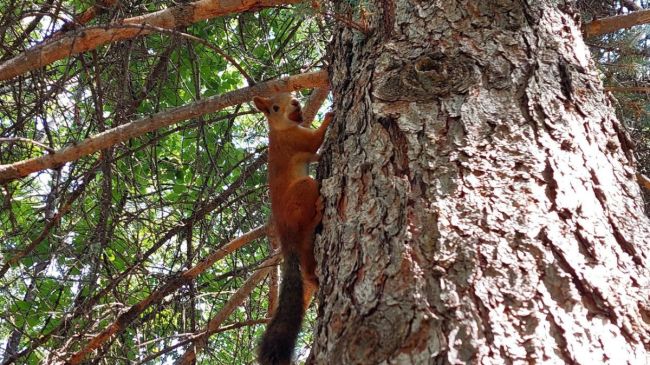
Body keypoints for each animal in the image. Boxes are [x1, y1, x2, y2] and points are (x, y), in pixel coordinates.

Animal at [252, 91, 332, 364]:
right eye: (275, 107)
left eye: (292, 94)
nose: (296, 103)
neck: (280, 130)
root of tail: (287, 240)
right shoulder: (297, 141)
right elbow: (316, 140)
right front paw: (329, 115)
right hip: (304, 189)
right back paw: (318, 212)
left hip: (307, 250)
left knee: (308, 270)